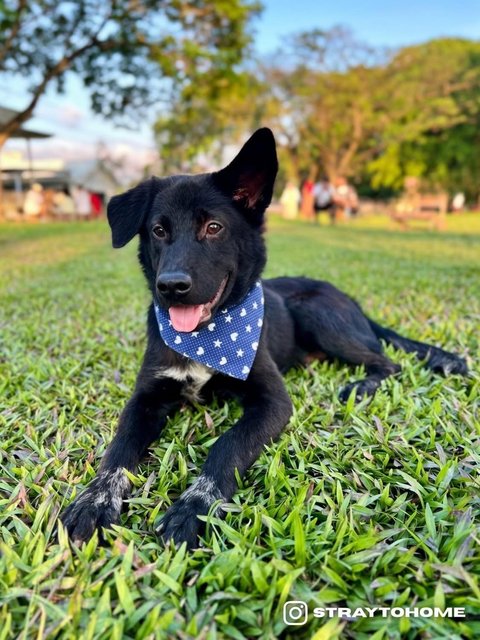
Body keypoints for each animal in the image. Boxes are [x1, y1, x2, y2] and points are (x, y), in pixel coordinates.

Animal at [61, 127, 468, 548]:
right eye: (159, 230)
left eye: (213, 227)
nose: (171, 286)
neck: (208, 339)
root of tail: (346, 296)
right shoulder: (146, 398)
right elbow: (118, 450)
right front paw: (95, 500)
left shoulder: (272, 402)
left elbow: (227, 445)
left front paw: (194, 507)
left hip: (316, 313)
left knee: (388, 361)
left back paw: (361, 386)